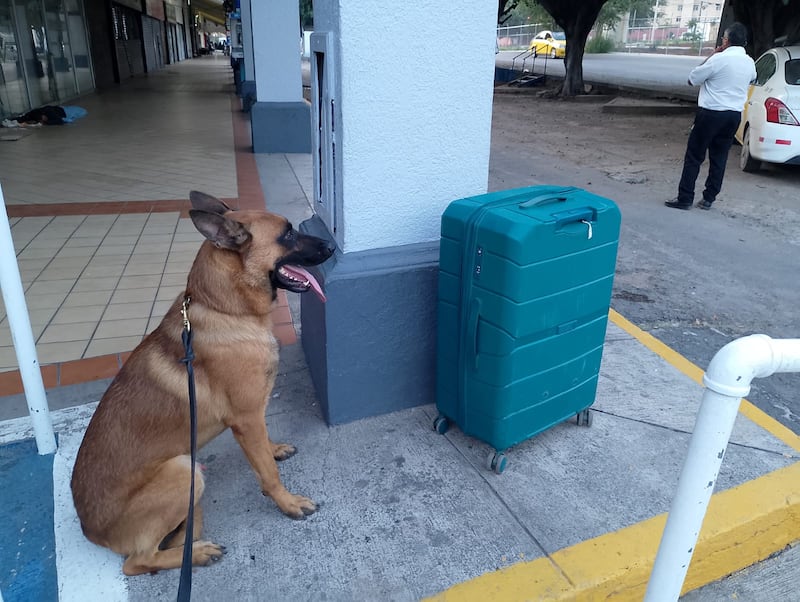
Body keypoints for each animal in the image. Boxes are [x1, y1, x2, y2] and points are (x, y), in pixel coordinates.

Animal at [70, 191, 336, 572]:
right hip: (185, 470)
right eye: (287, 234)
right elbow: (269, 473)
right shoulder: (246, 419)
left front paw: (273, 449)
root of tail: (89, 530)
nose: (332, 244)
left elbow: (265, 447)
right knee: (137, 562)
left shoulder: (253, 419)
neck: (225, 309)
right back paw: (196, 553)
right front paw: (287, 503)